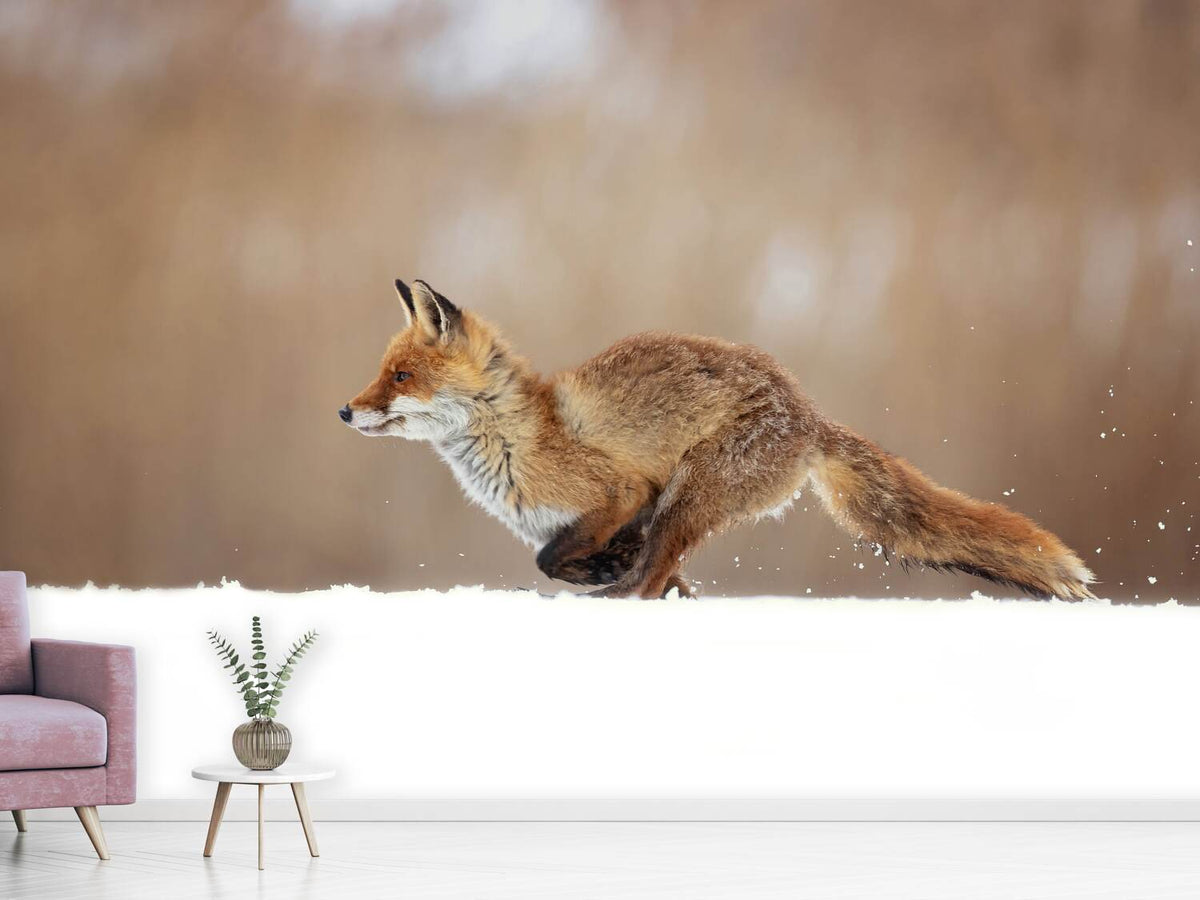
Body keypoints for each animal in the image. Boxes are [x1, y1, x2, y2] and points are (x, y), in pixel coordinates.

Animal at [340, 278, 1096, 601]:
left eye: (401, 376)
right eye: (381, 371)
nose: (345, 412)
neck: (515, 437)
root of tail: (808, 411)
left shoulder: (622, 491)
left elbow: (552, 559)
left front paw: (596, 575)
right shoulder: (610, 517)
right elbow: (579, 559)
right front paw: (605, 570)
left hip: (688, 495)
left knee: (650, 581)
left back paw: (619, 597)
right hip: (686, 505)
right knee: (660, 574)